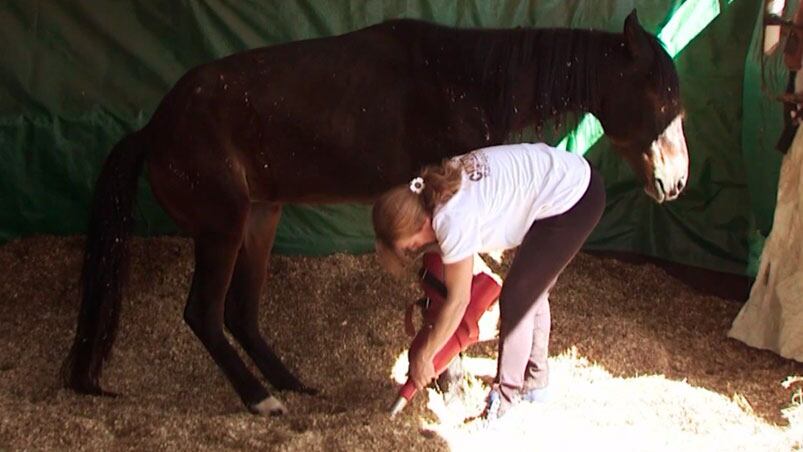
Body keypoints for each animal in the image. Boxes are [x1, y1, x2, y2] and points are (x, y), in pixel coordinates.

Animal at [64, 10, 692, 414]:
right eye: (660, 97)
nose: (677, 180)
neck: (462, 78)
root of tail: (154, 128)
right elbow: (443, 298)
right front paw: (446, 380)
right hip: (224, 228)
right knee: (205, 314)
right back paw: (260, 399)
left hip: (261, 219)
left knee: (241, 312)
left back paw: (290, 383)